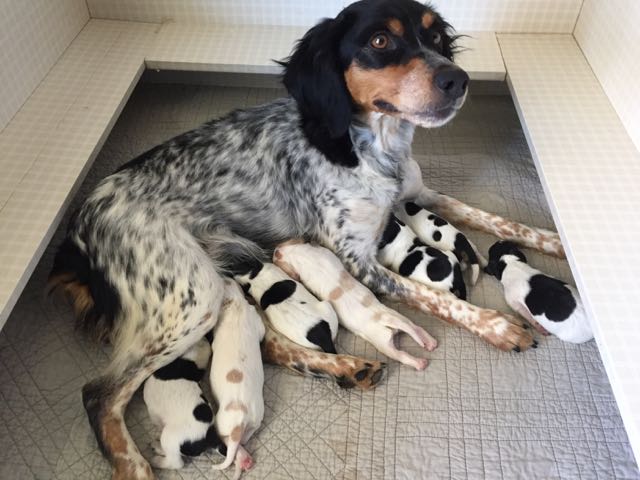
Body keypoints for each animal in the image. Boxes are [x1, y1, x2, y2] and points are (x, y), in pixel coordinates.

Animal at [142, 338, 225, 468]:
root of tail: (210, 435)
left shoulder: (153, 412)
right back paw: (158, 447)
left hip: (169, 436)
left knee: (176, 462)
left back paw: (156, 460)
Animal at [211, 280, 266, 478]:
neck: (235, 303)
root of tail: (239, 421)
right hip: (256, 418)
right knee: (246, 437)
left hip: (220, 424)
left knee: (227, 441)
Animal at [272, 240, 438, 372]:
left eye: (276, 257)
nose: (274, 250)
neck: (298, 254)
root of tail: (386, 321)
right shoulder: (323, 253)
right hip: (398, 317)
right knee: (415, 327)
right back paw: (430, 342)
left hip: (383, 343)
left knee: (402, 355)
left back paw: (420, 363)